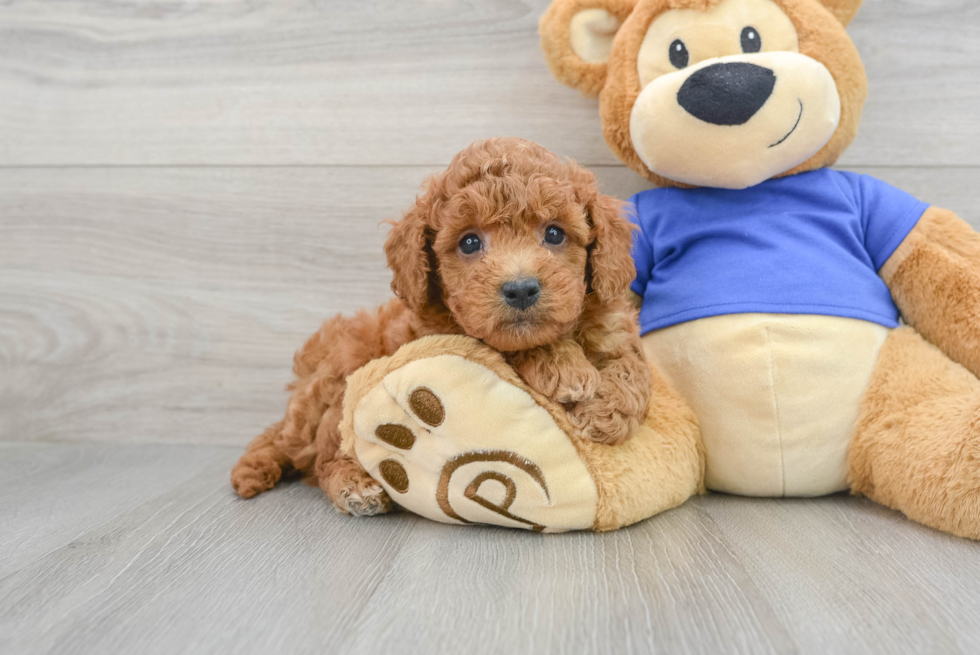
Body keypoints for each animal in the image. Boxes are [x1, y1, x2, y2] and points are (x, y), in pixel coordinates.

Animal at [230, 138, 652, 516]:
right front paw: (566, 369)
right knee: (320, 457)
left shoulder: (614, 329)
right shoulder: (450, 338)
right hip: (341, 382)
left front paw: (607, 415)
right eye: (469, 242)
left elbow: (633, 368)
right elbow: (515, 347)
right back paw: (353, 486)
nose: (520, 289)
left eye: (554, 233)